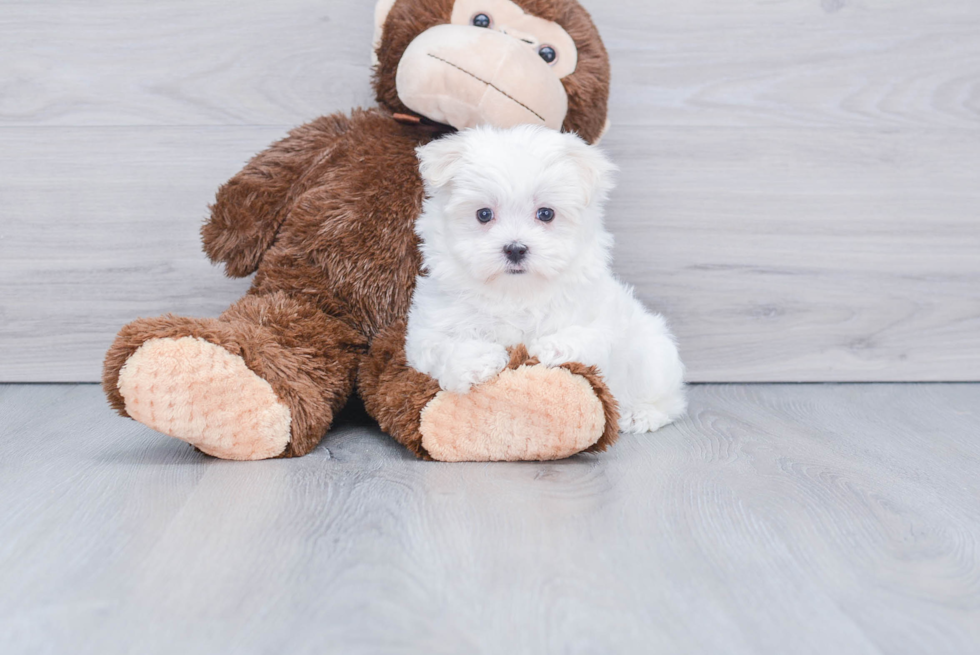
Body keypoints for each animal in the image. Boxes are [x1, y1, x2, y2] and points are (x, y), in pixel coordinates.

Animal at [402, 127, 684, 436]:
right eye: (484, 214)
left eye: (546, 213)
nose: (515, 249)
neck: (515, 293)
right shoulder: (428, 328)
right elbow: (442, 346)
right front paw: (477, 360)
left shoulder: (600, 315)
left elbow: (591, 336)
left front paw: (551, 347)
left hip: (653, 355)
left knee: (669, 399)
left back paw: (641, 414)